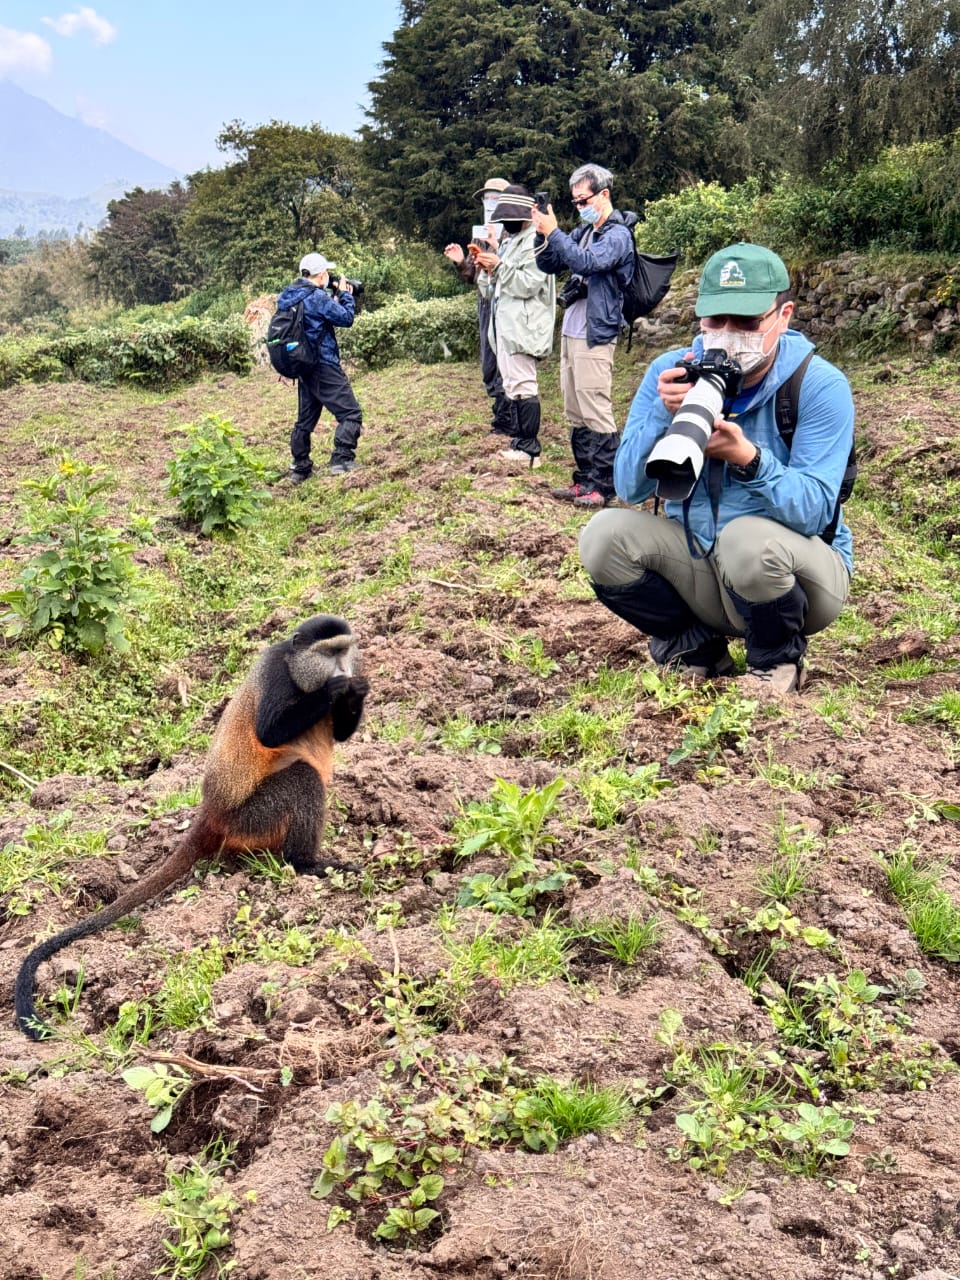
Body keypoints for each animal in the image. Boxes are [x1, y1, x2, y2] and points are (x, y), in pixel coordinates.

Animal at [14, 614, 369, 1040]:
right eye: (329, 653)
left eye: (345, 650)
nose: (343, 669)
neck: (298, 668)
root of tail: (212, 812)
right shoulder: (276, 673)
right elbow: (269, 731)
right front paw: (338, 687)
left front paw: (358, 688)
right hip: (254, 816)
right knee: (304, 779)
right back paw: (307, 863)